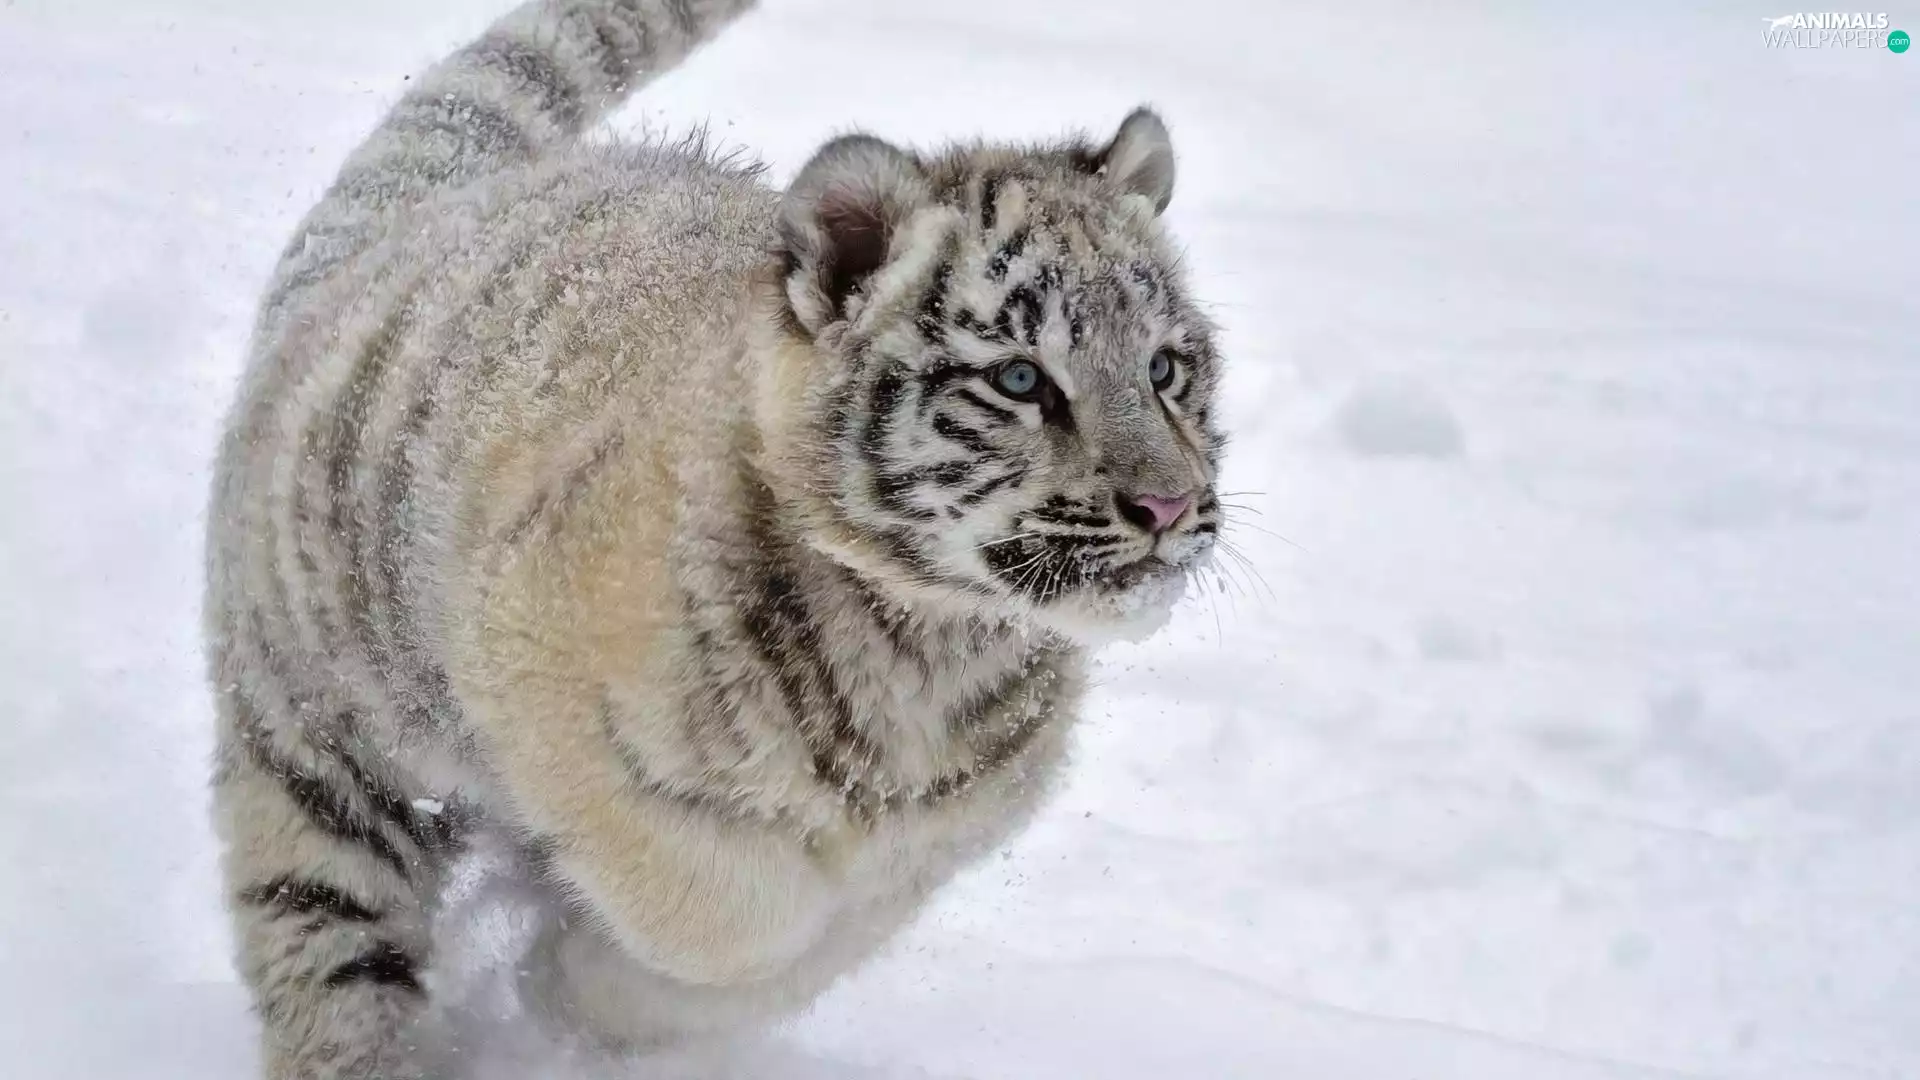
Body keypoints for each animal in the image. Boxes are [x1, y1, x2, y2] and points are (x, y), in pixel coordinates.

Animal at [201, 0, 1228, 1075]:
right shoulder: (534, 670)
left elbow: (787, 951)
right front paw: (565, 972)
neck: (929, 648)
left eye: (1163, 368)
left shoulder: (917, 854)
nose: (1169, 505)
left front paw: (585, 993)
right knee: (333, 960)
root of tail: (424, 213)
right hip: (319, 754)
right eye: (1022, 380)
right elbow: (725, 913)